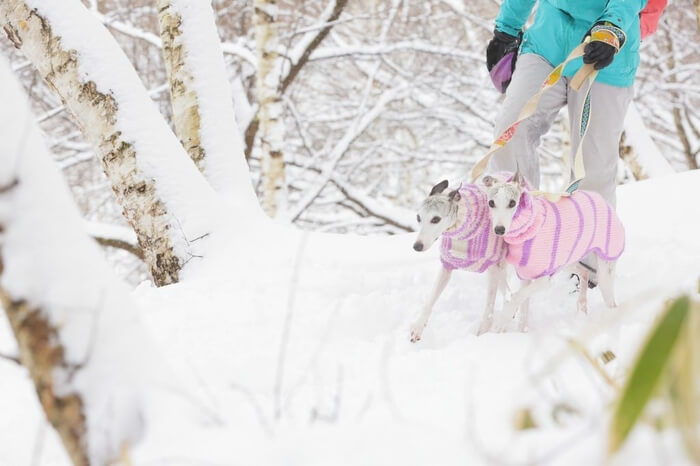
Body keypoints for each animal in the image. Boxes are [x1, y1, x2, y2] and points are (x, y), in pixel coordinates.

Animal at [410, 179, 508, 342]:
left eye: (435, 219)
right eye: (418, 218)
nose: (417, 246)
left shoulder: (493, 267)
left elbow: (489, 307)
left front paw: (483, 335)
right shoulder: (446, 266)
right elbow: (430, 299)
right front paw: (418, 326)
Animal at [482, 171, 624, 332]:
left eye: (512, 203)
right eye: (491, 203)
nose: (499, 230)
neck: (530, 227)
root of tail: (600, 199)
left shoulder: (545, 279)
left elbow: (516, 297)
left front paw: (502, 321)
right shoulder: (525, 276)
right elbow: (523, 309)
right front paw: (521, 332)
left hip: (605, 269)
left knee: (612, 303)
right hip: (567, 261)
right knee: (585, 272)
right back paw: (582, 305)